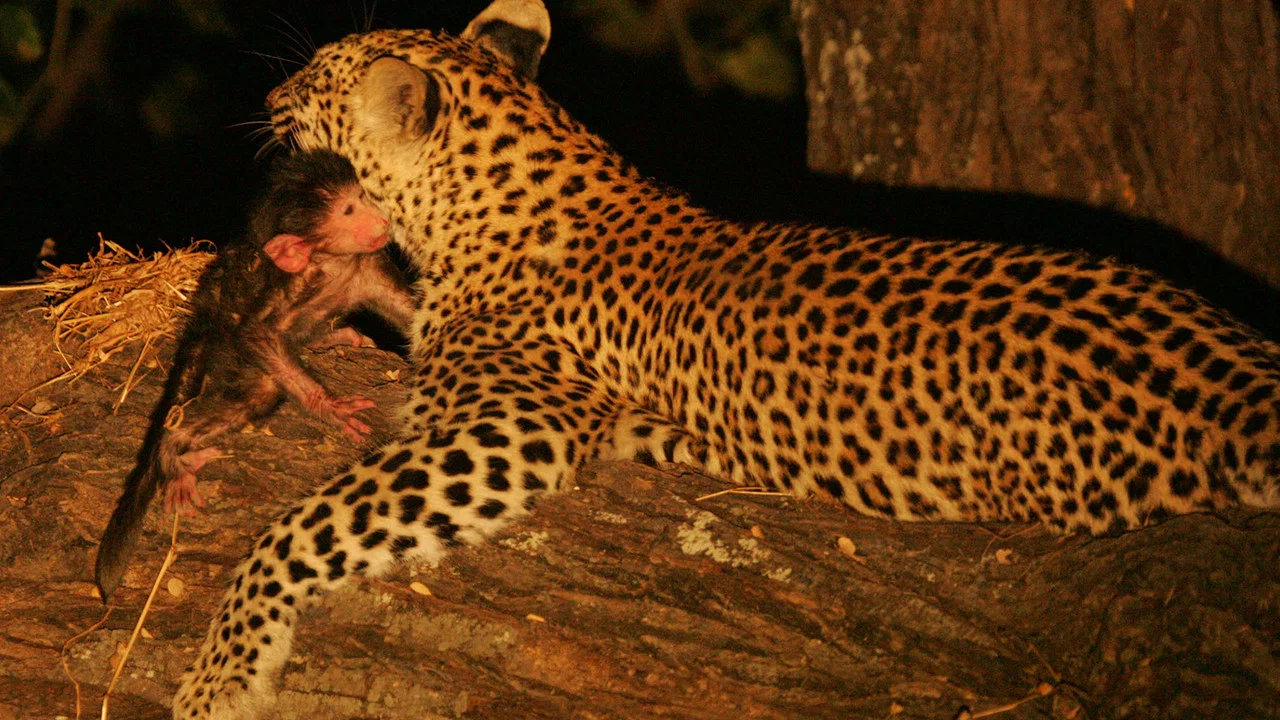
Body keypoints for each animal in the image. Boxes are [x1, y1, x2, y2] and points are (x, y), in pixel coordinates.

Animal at [170, 1, 1280, 717]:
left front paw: (223, 672)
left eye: (321, 78)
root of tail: (1237, 380)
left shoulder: (507, 429)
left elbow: (301, 525)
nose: (274, 89)